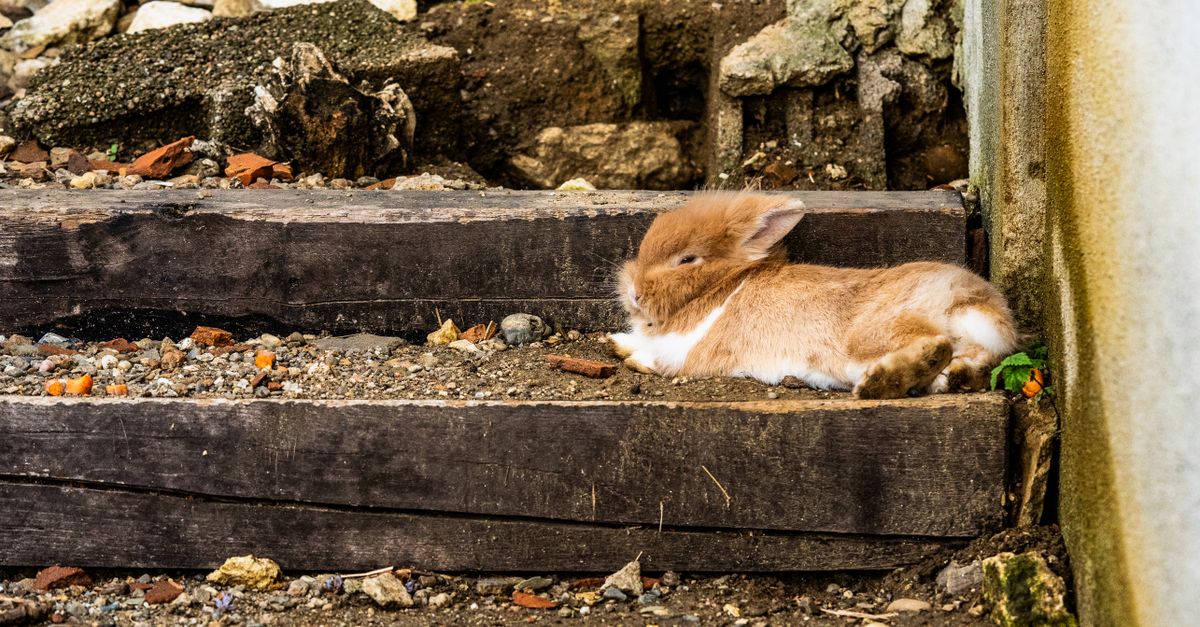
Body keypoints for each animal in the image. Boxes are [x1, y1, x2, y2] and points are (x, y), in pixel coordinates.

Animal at [607, 192, 1019, 399]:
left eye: (687, 259)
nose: (634, 293)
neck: (726, 284)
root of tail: (974, 301)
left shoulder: (689, 349)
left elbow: (658, 357)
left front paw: (630, 355)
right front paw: (615, 341)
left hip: (875, 333)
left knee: (935, 345)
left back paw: (879, 383)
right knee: (974, 366)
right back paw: (952, 379)